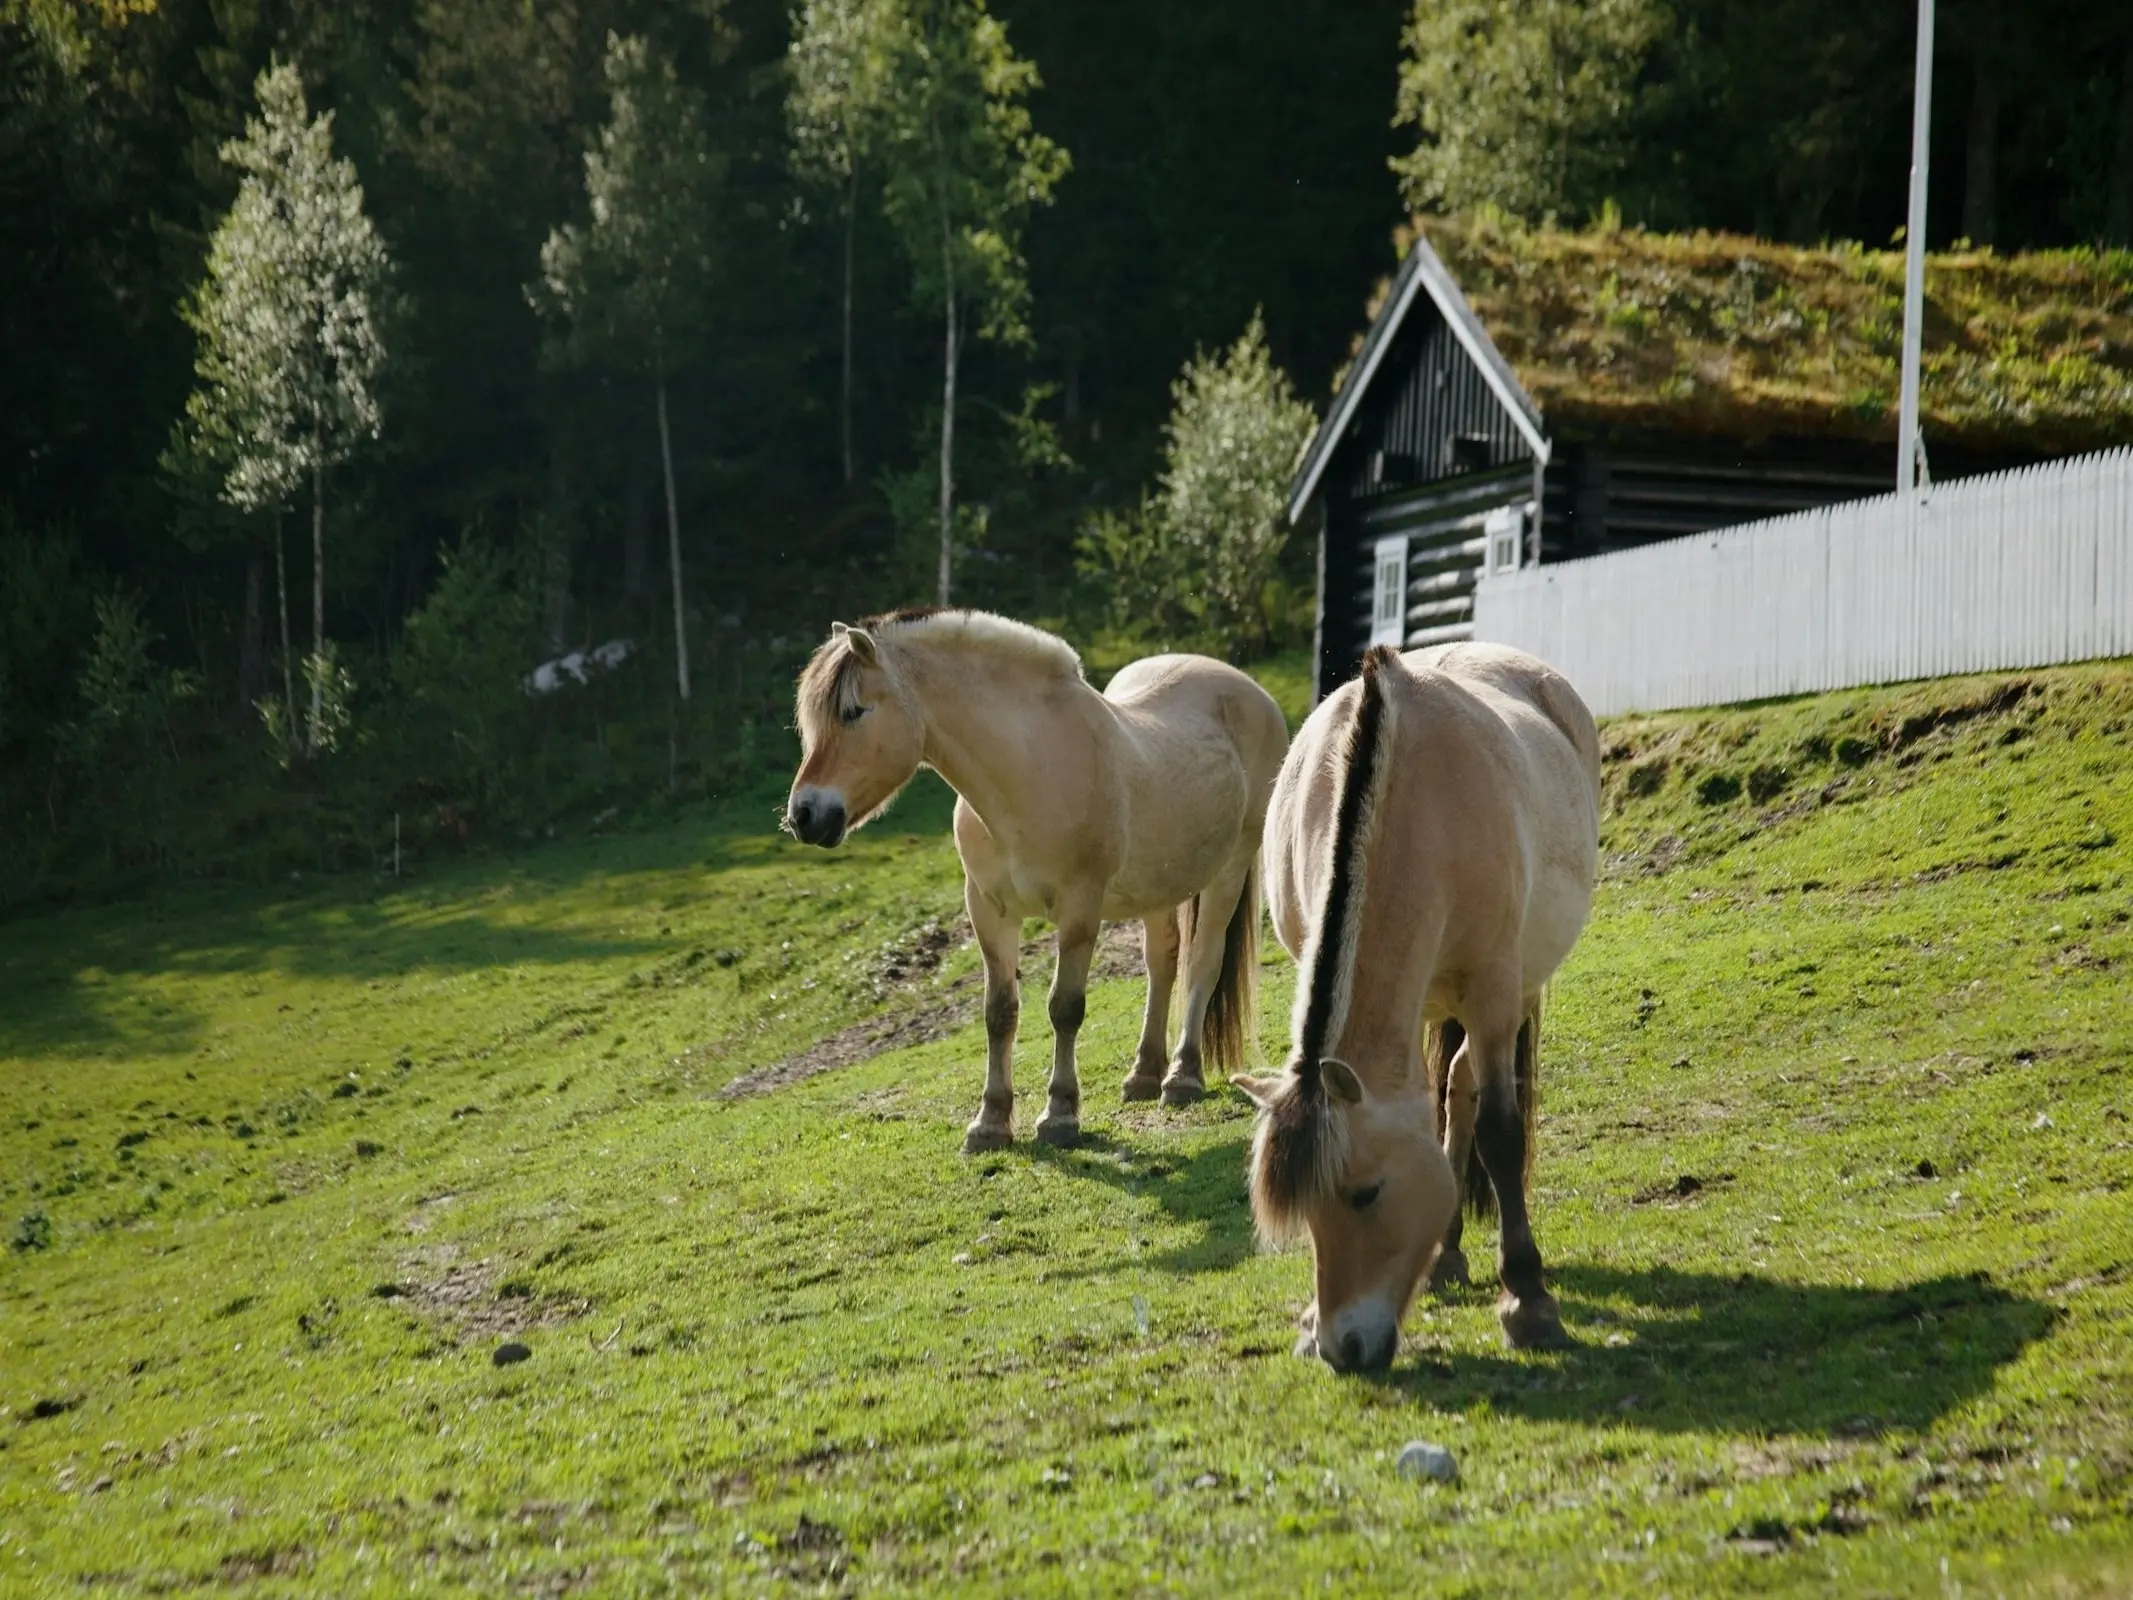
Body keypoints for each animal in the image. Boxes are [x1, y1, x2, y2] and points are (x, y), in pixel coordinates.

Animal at [784, 610, 1279, 1152]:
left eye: (854, 712)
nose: (803, 816)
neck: (1028, 771)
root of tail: (1250, 690)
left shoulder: (1080, 909)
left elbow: (1065, 1007)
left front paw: (1059, 1115)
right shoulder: (988, 910)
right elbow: (999, 1012)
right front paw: (990, 1122)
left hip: (1230, 869)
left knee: (1203, 962)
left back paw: (1182, 1076)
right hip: (1157, 886)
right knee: (1162, 962)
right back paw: (1144, 1074)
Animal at [1237, 644, 1604, 1373]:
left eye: (1367, 1192)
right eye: (1308, 1212)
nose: (1342, 1348)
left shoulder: (1494, 992)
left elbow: (1499, 1133)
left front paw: (1528, 1301)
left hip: (1514, 990)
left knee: (1466, 1090)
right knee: (1449, 1091)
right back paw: (1446, 1257)